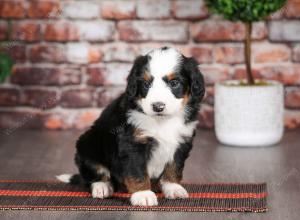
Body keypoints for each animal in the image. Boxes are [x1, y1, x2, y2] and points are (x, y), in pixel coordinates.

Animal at [56, 46, 204, 206]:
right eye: (146, 84)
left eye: (174, 83)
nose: (158, 106)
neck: (162, 121)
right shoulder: (133, 143)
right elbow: (137, 170)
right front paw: (143, 194)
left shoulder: (182, 141)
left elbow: (174, 166)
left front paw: (173, 188)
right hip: (88, 145)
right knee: (93, 173)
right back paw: (102, 187)